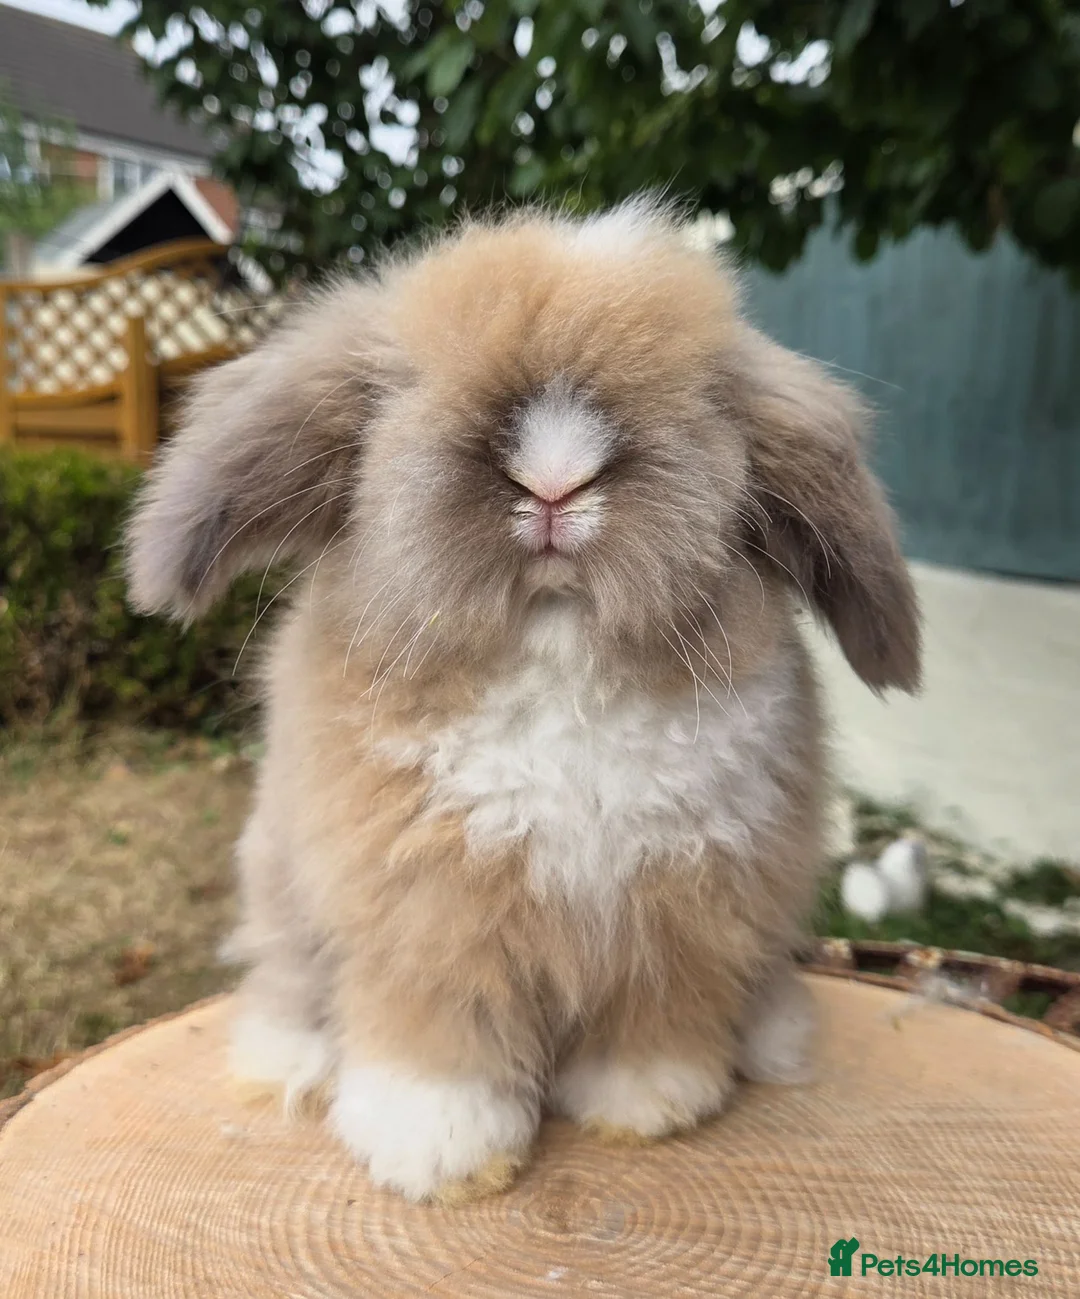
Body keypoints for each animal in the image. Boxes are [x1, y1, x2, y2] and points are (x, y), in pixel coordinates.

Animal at [125, 198, 920, 1205]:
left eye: (705, 402)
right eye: (405, 388)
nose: (553, 477)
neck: (557, 663)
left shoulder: (680, 916)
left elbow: (657, 1021)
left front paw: (647, 1107)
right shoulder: (427, 920)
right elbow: (437, 1042)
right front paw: (438, 1155)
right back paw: (288, 1062)